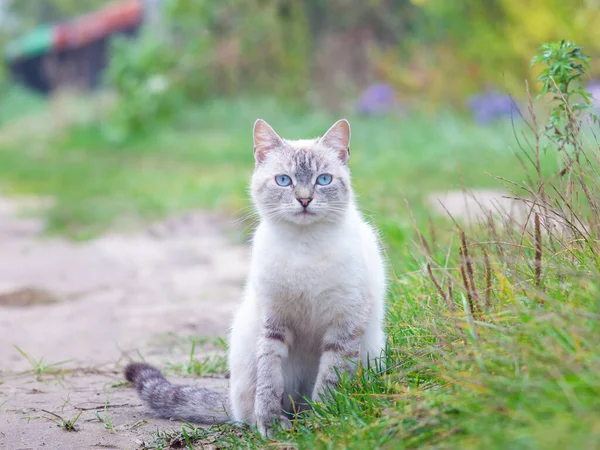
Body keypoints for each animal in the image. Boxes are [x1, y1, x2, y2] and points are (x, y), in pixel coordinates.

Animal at [125, 118, 390, 438]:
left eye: (323, 180)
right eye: (284, 181)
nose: (304, 199)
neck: (303, 246)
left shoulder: (344, 324)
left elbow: (330, 379)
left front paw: (324, 420)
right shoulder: (272, 322)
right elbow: (269, 381)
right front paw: (271, 425)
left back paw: (308, 418)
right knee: (254, 406)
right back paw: (282, 421)